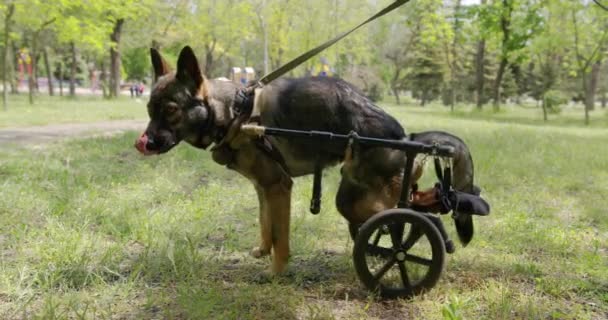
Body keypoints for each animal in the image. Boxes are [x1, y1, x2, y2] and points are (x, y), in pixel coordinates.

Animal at [135, 46, 482, 274]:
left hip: (361, 202)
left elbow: (281, 237)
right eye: (149, 110)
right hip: (356, 199)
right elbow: (265, 224)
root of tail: (405, 136)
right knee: (411, 215)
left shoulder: (279, 188)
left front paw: (275, 274)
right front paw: (262, 251)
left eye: (171, 110)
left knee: (421, 218)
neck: (234, 111)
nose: (145, 143)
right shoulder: (264, 189)